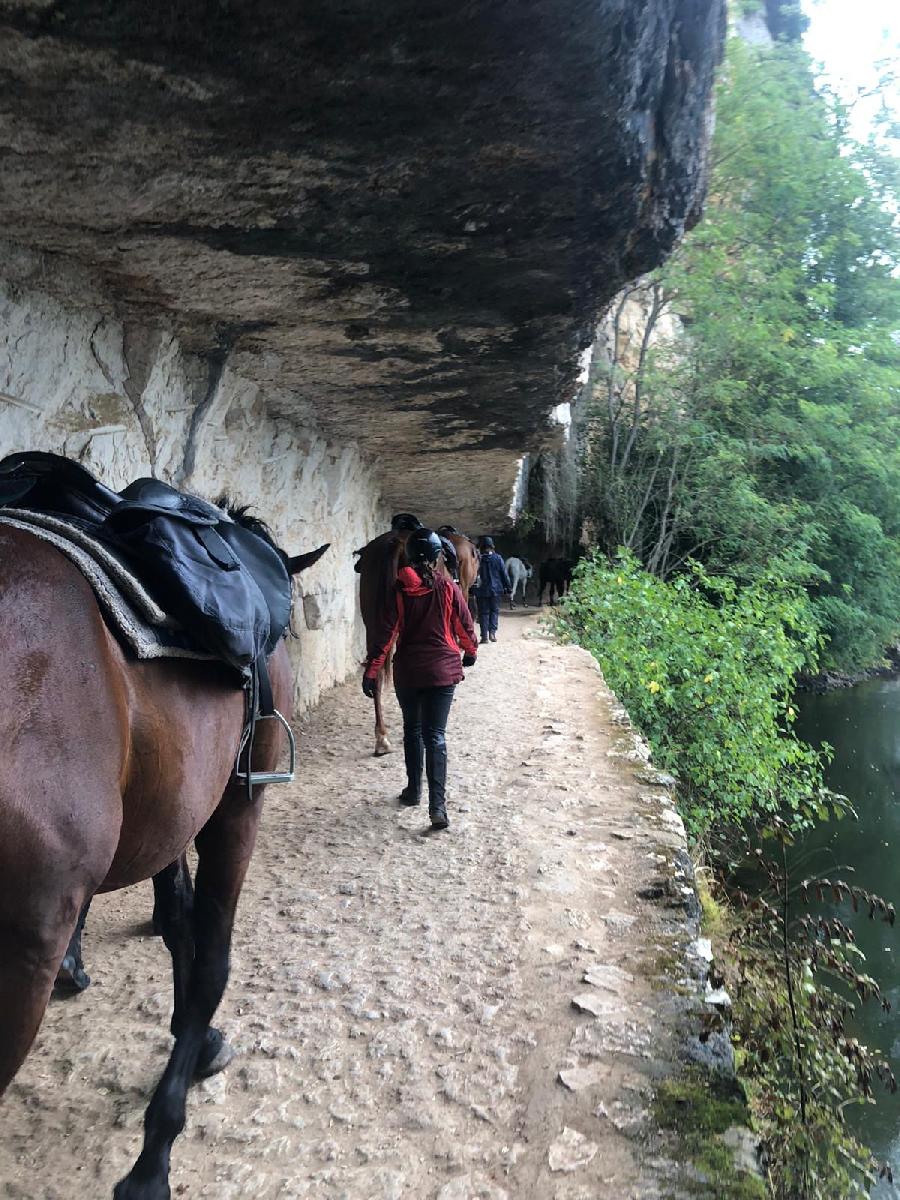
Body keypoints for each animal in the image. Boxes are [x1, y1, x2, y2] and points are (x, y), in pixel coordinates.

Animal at [0, 520, 328, 1195]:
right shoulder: (234, 808)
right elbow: (211, 958)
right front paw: (155, 1152)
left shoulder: (171, 814)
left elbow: (178, 923)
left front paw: (194, 1043)